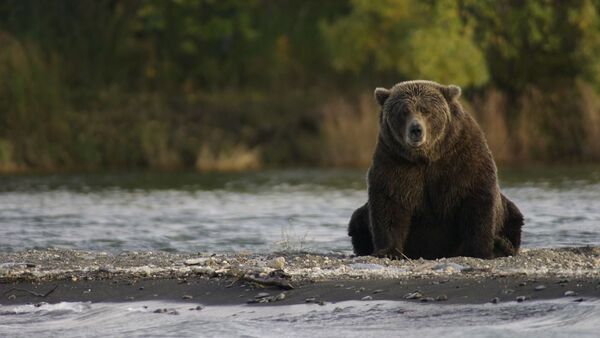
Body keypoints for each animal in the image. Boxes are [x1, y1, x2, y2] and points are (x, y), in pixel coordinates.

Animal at [350, 80, 524, 258]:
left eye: (426, 110)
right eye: (404, 111)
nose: (416, 130)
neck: (426, 156)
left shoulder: (462, 156)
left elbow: (476, 200)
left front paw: (480, 251)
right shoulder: (393, 160)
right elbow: (389, 203)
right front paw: (388, 252)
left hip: (508, 212)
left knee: (514, 218)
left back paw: (502, 245)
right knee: (357, 221)